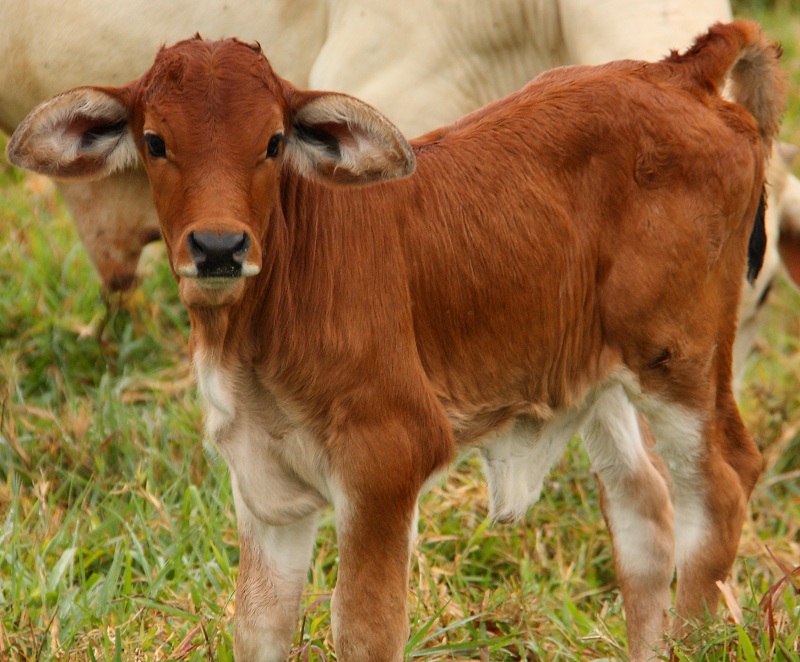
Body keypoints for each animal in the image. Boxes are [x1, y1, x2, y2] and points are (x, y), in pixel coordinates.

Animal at [5, 19, 786, 662]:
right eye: (155, 142)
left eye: (274, 143)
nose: (219, 247)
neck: (257, 330)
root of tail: (678, 73)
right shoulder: (264, 483)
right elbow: (258, 627)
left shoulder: (388, 458)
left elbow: (365, 631)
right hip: (602, 378)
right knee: (644, 512)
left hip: (679, 360)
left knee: (720, 486)